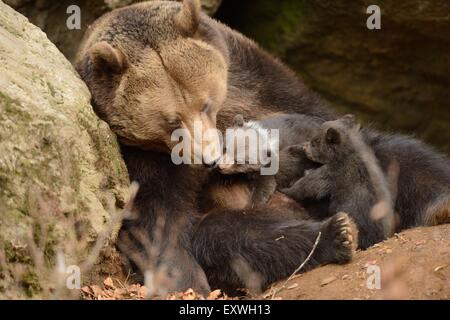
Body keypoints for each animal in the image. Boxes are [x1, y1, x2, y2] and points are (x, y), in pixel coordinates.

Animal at [75, 0, 356, 294]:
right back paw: (336, 234)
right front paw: (187, 280)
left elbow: (312, 114)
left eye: (205, 103)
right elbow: (158, 215)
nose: (209, 159)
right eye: (171, 120)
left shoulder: (254, 80)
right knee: (233, 236)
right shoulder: (142, 156)